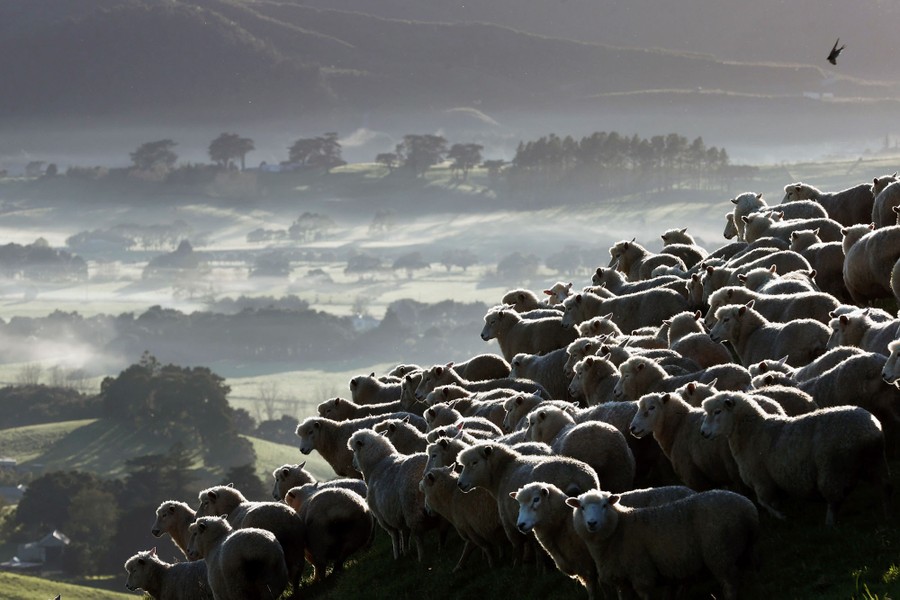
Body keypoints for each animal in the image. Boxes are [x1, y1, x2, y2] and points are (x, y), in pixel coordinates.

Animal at [347, 428, 437, 561]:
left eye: (354, 450)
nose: (353, 465)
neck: (376, 464)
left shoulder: (383, 516)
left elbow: (395, 536)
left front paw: (397, 556)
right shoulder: (400, 515)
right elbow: (405, 534)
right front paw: (406, 551)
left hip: (412, 510)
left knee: (419, 536)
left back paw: (422, 558)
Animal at [456, 441, 599, 565]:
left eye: (474, 462)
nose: (460, 484)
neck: (502, 472)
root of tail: (573, 475)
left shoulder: (508, 521)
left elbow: (518, 546)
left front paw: (518, 566)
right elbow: (532, 544)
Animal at [566, 488, 759, 600]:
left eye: (605, 505)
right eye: (581, 507)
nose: (592, 523)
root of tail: (747, 507)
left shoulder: (641, 573)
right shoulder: (622, 581)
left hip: (720, 552)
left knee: (730, 584)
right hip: (738, 550)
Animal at [700, 391, 891, 526]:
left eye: (717, 412)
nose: (702, 432)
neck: (753, 432)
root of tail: (871, 428)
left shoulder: (761, 479)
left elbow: (763, 502)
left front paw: (781, 516)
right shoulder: (767, 481)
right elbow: (769, 502)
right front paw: (780, 512)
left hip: (833, 469)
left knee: (833, 499)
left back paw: (830, 523)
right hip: (875, 461)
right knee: (884, 486)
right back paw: (886, 513)